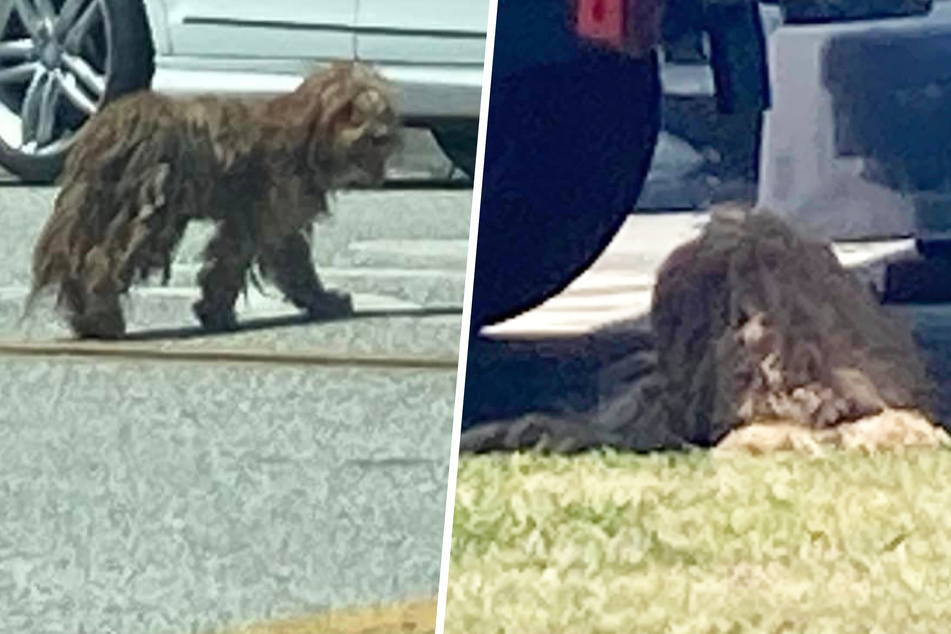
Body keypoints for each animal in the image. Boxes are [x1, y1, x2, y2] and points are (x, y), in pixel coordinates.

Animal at [23, 59, 402, 338]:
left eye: (381, 110)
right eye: (350, 109)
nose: (380, 135)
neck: (307, 134)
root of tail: (111, 123)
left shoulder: (246, 219)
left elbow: (228, 262)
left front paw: (215, 311)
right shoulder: (274, 214)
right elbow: (288, 260)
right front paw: (323, 301)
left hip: (106, 206)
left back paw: (84, 317)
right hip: (147, 210)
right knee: (103, 261)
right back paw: (103, 320)